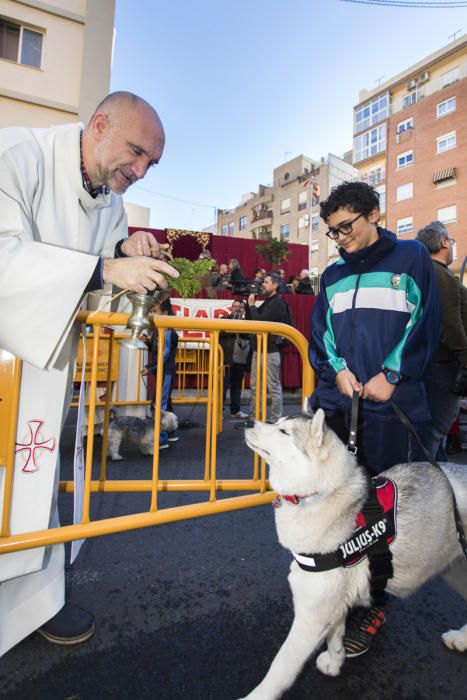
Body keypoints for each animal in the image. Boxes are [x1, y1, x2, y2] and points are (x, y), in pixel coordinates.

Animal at [241, 410, 467, 700]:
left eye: (284, 432)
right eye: (277, 422)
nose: (248, 421)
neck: (322, 495)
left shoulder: (311, 616)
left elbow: (280, 666)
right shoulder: (333, 601)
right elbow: (335, 636)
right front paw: (335, 662)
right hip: (455, 571)